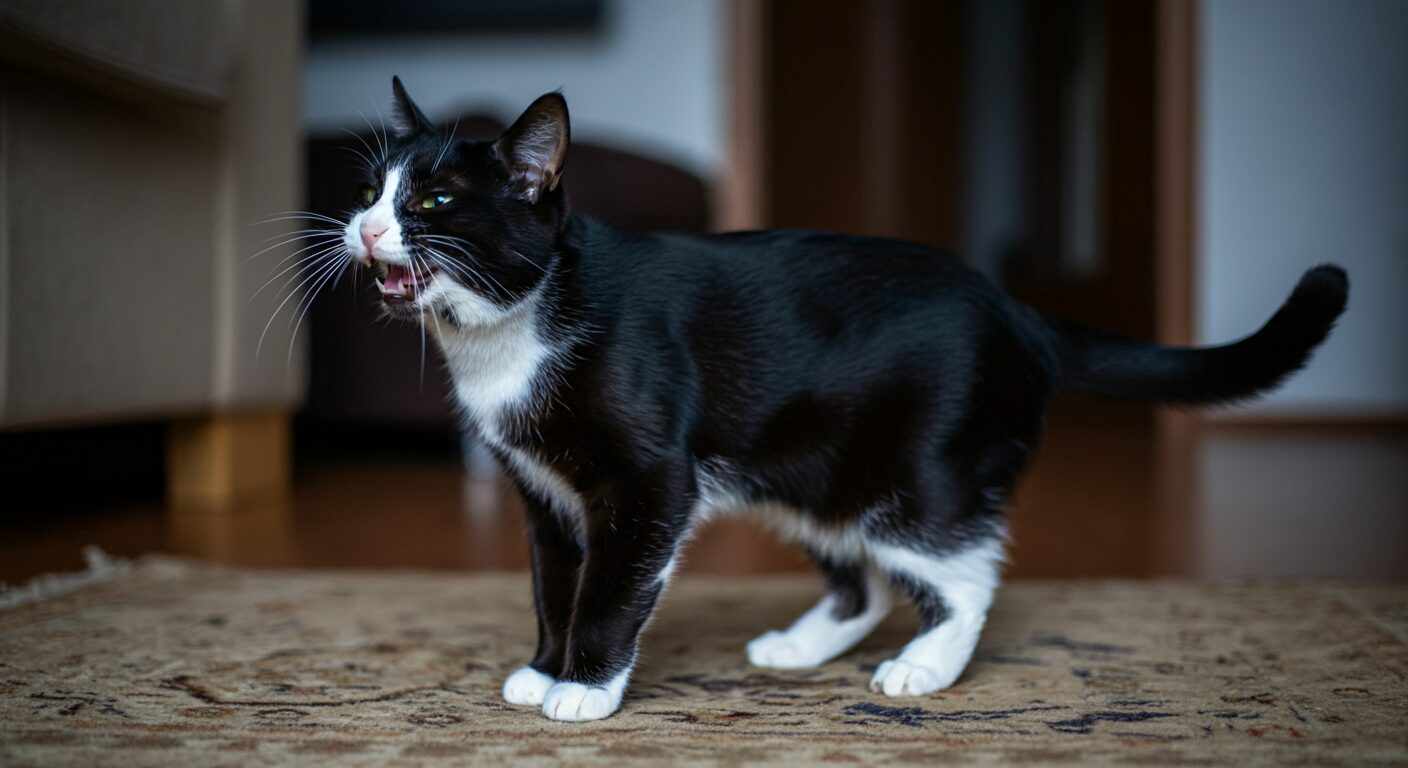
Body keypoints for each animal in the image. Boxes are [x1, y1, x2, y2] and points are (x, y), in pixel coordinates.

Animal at [335, 79, 1346, 718]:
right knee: (862, 575)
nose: (365, 227)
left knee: (963, 569)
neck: (516, 328)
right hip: (811, 468)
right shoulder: (543, 491)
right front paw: (543, 668)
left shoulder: (650, 480)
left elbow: (614, 585)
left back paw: (923, 666)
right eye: (370, 187)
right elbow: (556, 581)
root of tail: (1018, 310)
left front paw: (583, 689)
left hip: (923, 469)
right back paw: (800, 646)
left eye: (433, 201)